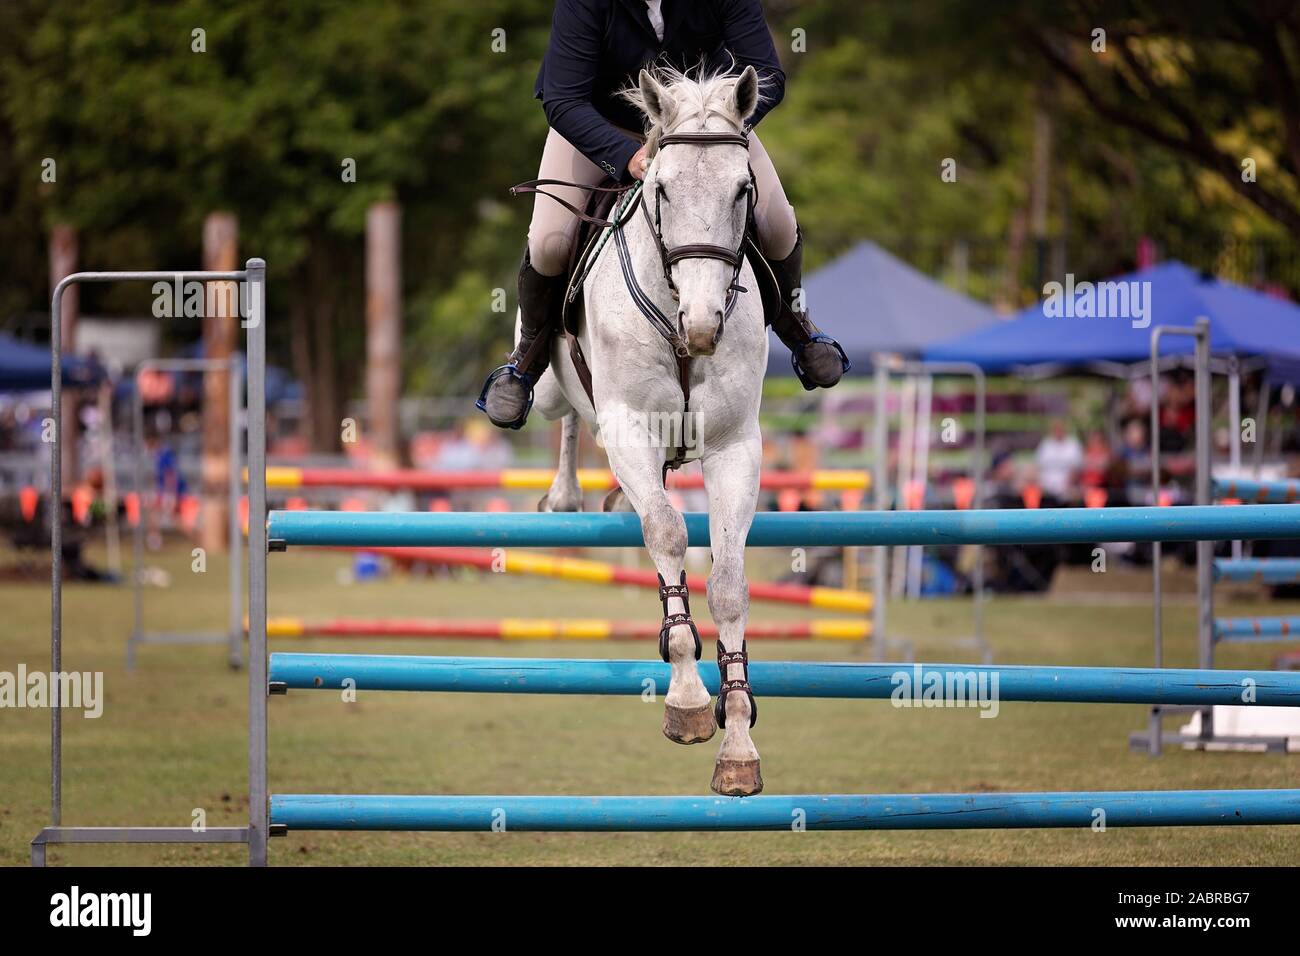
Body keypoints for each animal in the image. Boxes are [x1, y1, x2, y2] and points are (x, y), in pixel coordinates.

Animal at [531, 65, 769, 796]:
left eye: (743, 189)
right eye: (661, 188)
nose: (704, 325)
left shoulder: (735, 448)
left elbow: (728, 583)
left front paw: (738, 744)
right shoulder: (630, 429)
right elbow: (666, 532)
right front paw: (689, 702)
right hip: (551, 393)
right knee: (563, 412)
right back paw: (565, 495)